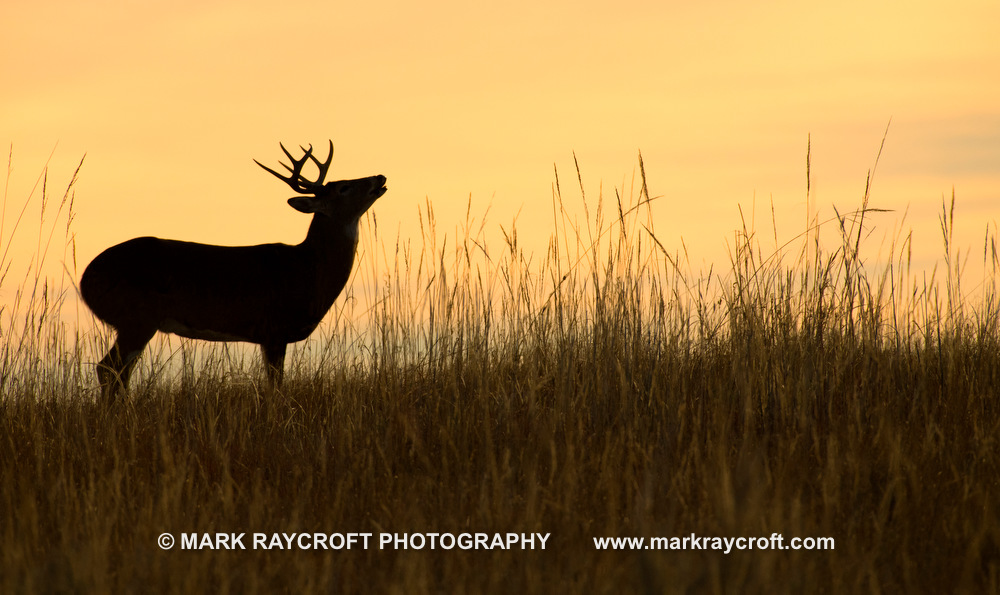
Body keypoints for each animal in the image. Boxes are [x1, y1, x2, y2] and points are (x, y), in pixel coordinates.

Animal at [79, 141, 386, 400]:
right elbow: (275, 389)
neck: (308, 268)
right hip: (137, 317)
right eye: (343, 187)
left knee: (119, 372)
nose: (380, 177)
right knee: (108, 368)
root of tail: (86, 279)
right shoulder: (273, 328)